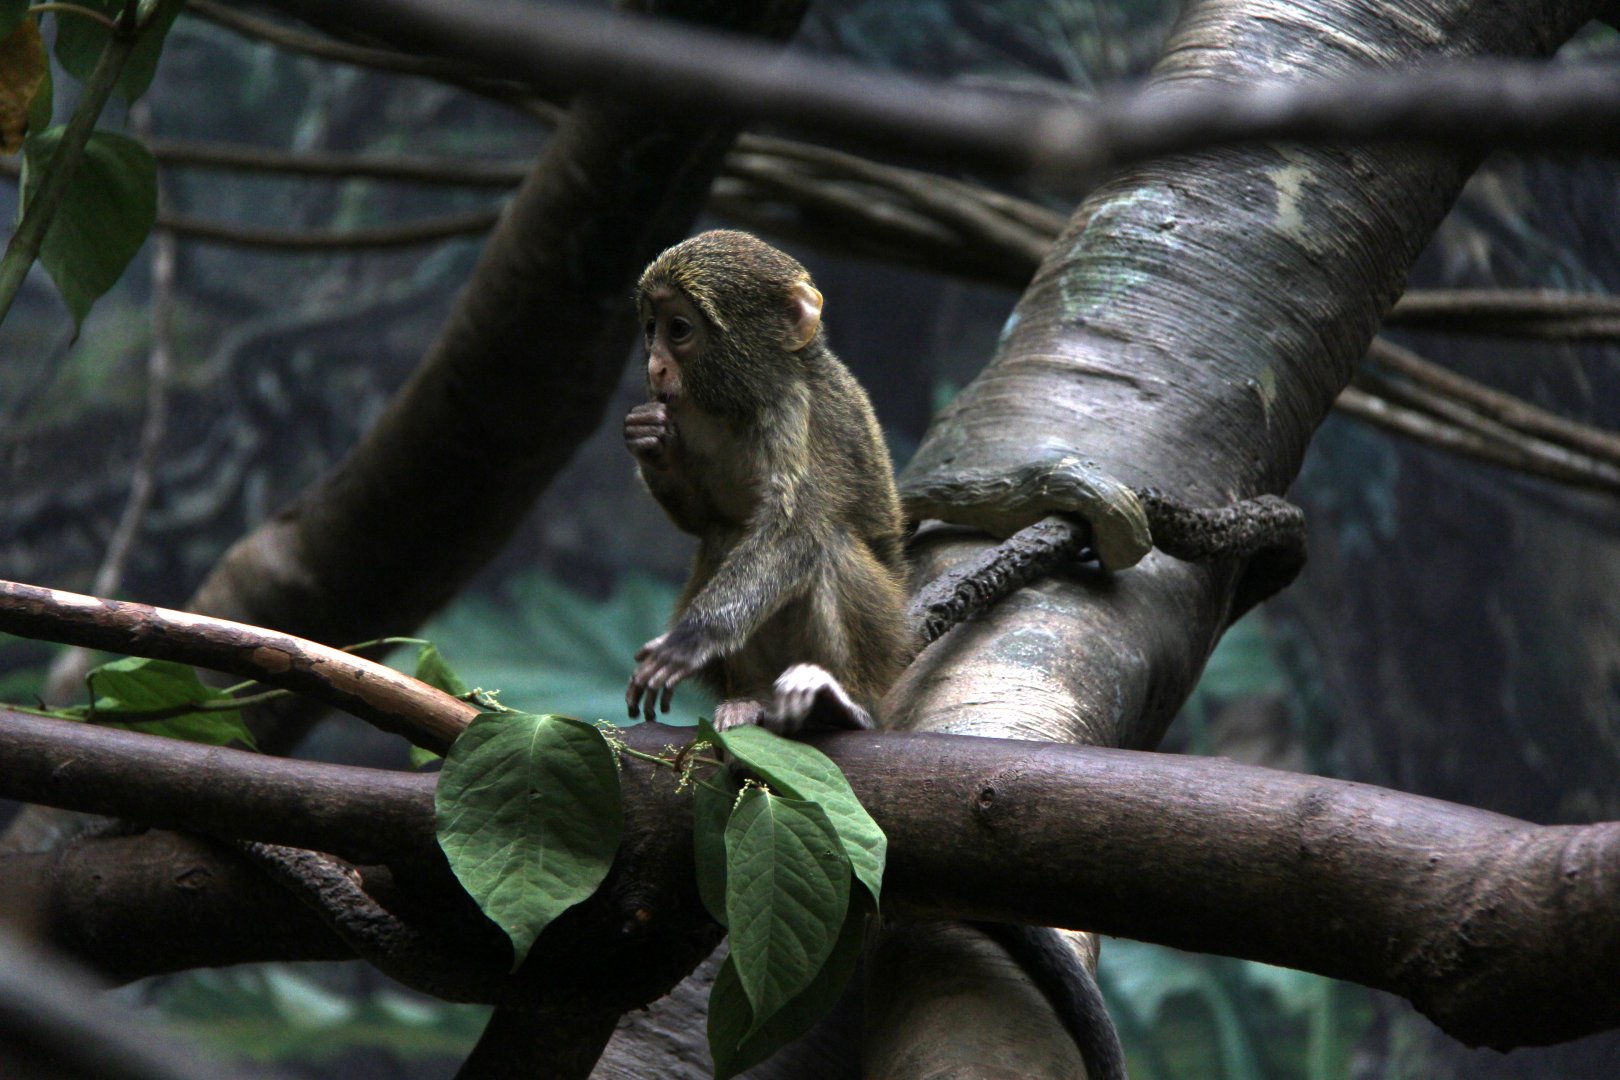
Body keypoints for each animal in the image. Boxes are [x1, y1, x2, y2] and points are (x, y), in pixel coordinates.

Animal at [623, 229, 911, 733]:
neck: (737, 403)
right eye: (650, 328)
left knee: (827, 543)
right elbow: (702, 520)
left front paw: (693, 638)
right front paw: (649, 439)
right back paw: (750, 697)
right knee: (724, 536)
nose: (656, 368)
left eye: (678, 329)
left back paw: (843, 700)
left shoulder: (796, 412)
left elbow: (796, 529)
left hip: (886, 641)